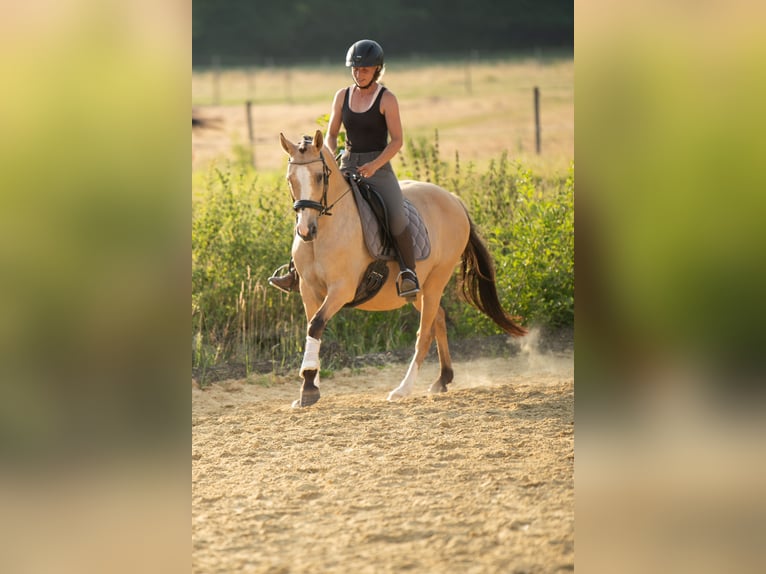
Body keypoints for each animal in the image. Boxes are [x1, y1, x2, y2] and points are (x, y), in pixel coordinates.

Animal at [279, 130, 527, 407]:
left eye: (320, 177)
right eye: (290, 179)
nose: (305, 230)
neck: (324, 232)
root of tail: (453, 200)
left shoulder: (341, 290)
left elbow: (316, 325)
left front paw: (309, 386)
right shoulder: (308, 289)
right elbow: (313, 329)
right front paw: (310, 383)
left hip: (435, 281)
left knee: (424, 333)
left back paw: (403, 389)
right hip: (419, 290)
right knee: (438, 318)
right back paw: (443, 379)